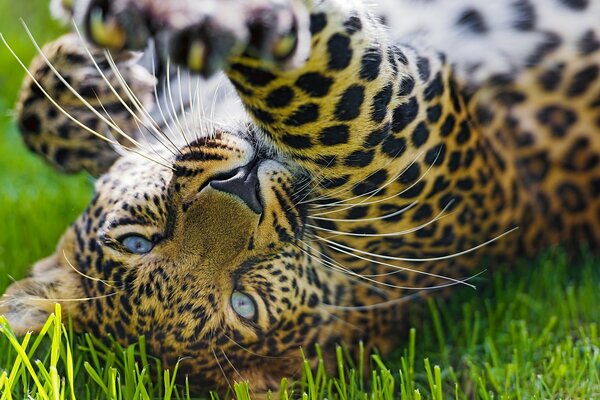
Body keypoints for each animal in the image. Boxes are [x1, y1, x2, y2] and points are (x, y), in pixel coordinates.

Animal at [3, 0, 600, 394]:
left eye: (136, 241)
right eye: (244, 303)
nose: (240, 185)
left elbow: (36, 111)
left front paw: (90, 76)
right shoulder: (397, 141)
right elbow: (315, 87)